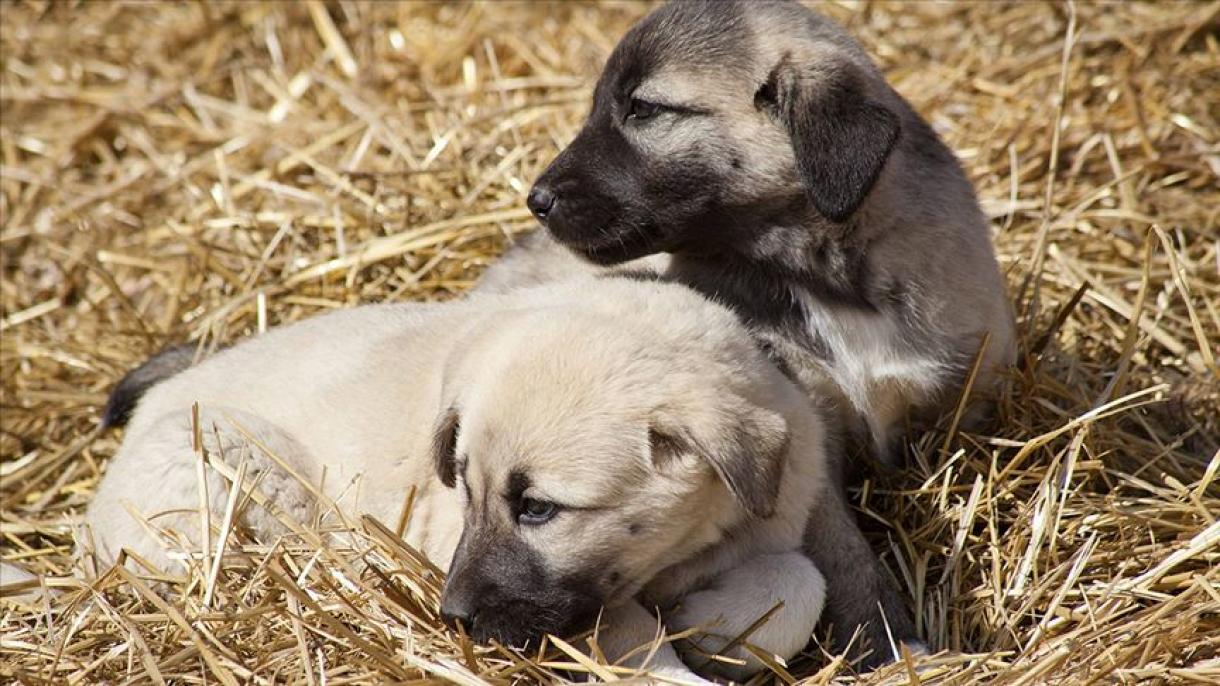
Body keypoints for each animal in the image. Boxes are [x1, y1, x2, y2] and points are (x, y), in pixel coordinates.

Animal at [81, 274, 829, 678]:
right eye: (465, 489)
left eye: (537, 508)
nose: (454, 619)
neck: (680, 548)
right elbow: (627, 635)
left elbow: (803, 580)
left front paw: (713, 623)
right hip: (239, 464)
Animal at [478, 0, 1019, 664]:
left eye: (643, 108)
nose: (537, 199)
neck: (827, 278)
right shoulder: (808, 429)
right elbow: (847, 559)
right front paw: (888, 642)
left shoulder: (967, 397)